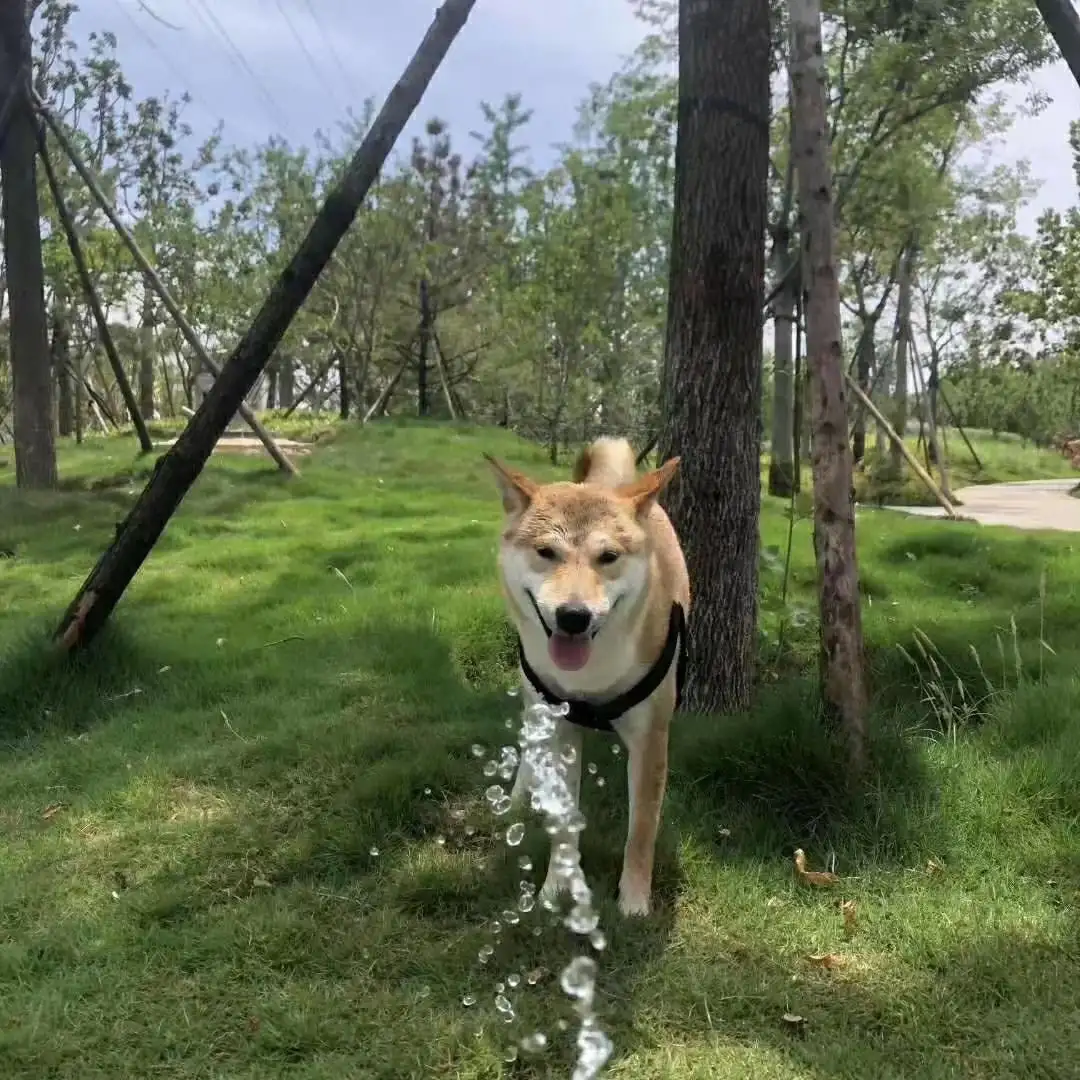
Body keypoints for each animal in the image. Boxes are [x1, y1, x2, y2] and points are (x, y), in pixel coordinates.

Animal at [483, 434, 686, 915]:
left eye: (608, 557)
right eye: (546, 552)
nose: (573, 616)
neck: (590, 676)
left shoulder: (651, 738)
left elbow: (641, 831)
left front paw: (633, 904)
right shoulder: (559, 727)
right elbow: (563, 824)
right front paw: (557, 889)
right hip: (534, 705)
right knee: (528, 744)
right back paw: (518, 797)